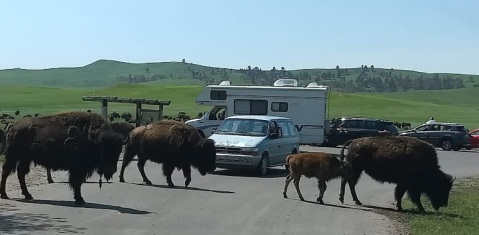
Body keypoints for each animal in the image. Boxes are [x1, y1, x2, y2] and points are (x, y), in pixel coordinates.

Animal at [0, 111, 129, 205]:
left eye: (118, 151)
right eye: (103, 150)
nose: (111, 169)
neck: (93, 138)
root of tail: (13, 127)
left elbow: (78, 183)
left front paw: (79, 198)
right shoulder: (78, 168)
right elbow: (77, 183)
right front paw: (80, 199)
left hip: (25, 158)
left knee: (20, 173)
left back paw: (28, 195)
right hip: (13, 156)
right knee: (6, 172)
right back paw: (5, 195)